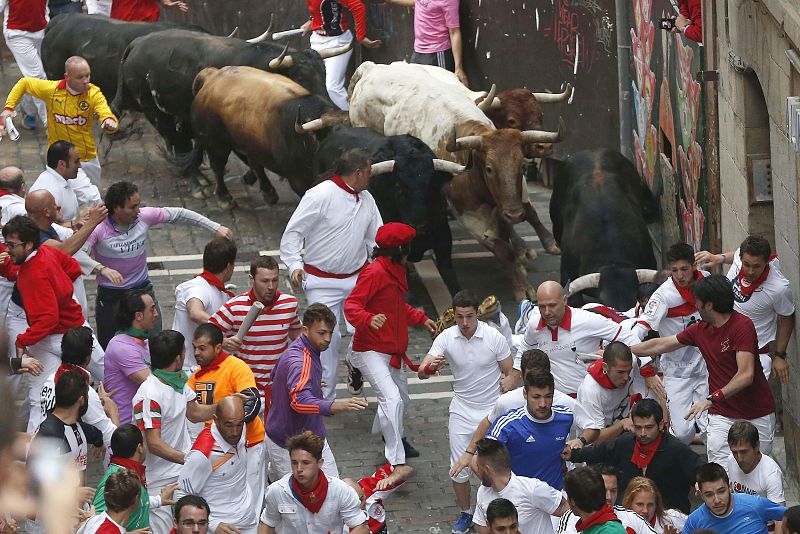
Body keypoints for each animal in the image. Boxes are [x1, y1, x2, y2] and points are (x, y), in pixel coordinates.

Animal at [189, 66, 348, 207]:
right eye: (334, 143)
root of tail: (212, 75)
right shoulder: (298, 178)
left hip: (250, 141)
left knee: (255, 163)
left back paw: (268, 192)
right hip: (216, 143)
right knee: (218, 166)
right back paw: (224, 198)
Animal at [348, 61, 564, 302]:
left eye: (522, 167)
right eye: (489, 168)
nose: (544, 146)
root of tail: (372, 67)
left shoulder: (509, 197)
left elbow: (523, 216)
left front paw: (538, 246)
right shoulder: (468, 213)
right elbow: (502, 248)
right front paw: (521, 284)